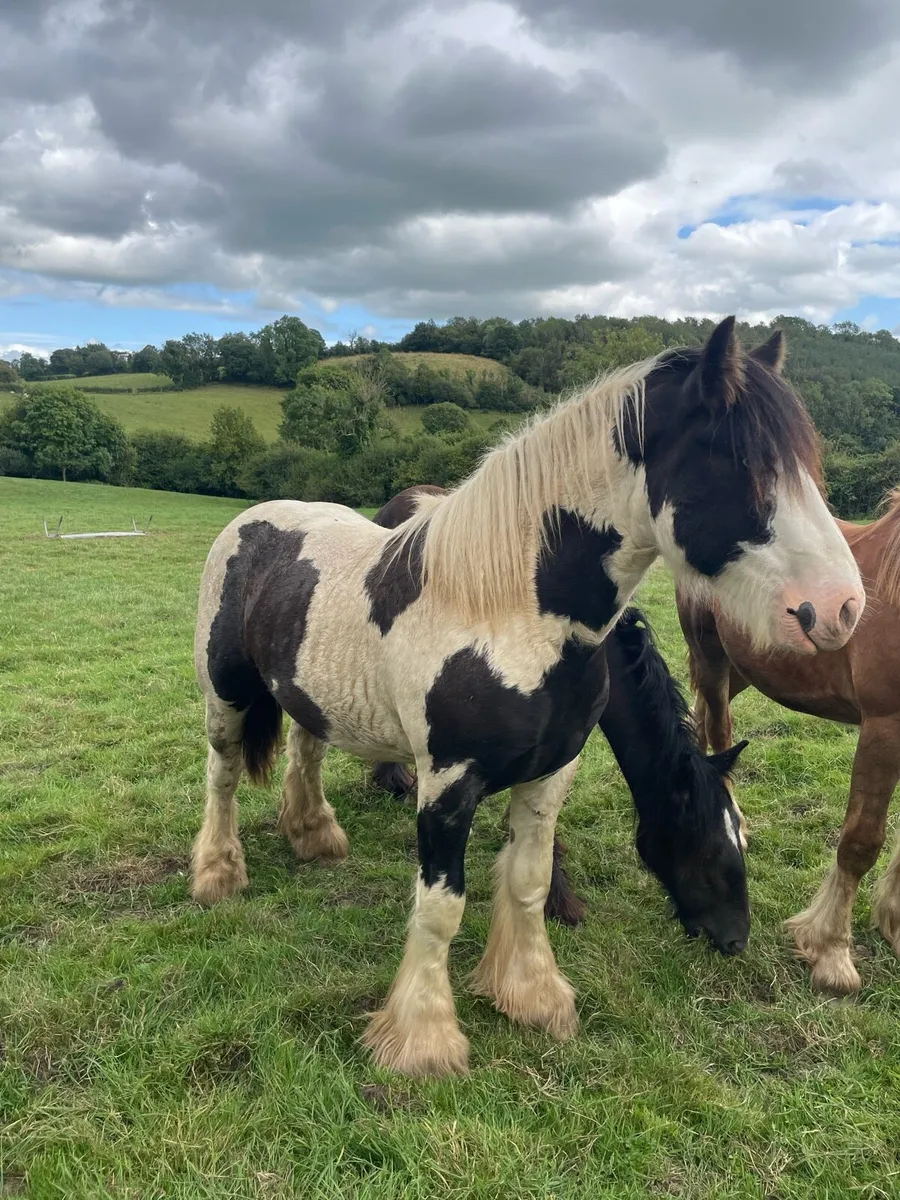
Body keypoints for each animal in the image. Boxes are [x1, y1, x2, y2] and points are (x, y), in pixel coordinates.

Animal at [680, 485, 900, 994]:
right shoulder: (884, 728)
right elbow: (860, 842)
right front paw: (830, 952)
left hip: (745, 668)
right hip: (712, 658)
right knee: (718, 729)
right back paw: (733, 823)